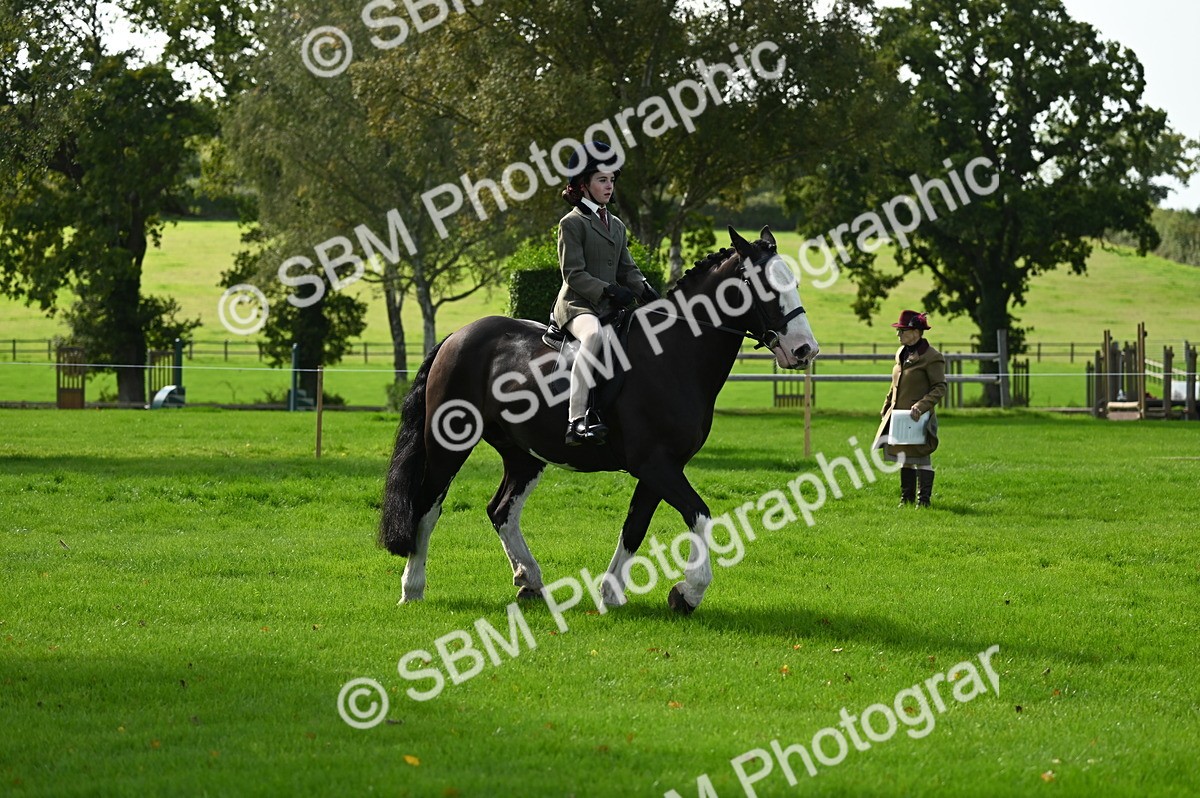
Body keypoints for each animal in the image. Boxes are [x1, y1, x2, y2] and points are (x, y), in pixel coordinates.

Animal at [379, 225, 820, 614]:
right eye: (765, 286)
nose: (805, 350)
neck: (672, 354)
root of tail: (457, 336)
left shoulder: (661, 468)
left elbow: (634, 527)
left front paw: (611, 594)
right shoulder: (656, 465)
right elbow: (699, 515)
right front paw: (689, 593)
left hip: (524, 455)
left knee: (501, 510)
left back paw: (530, 581)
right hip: (449, 445)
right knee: (428, 507)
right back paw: (412, 589)